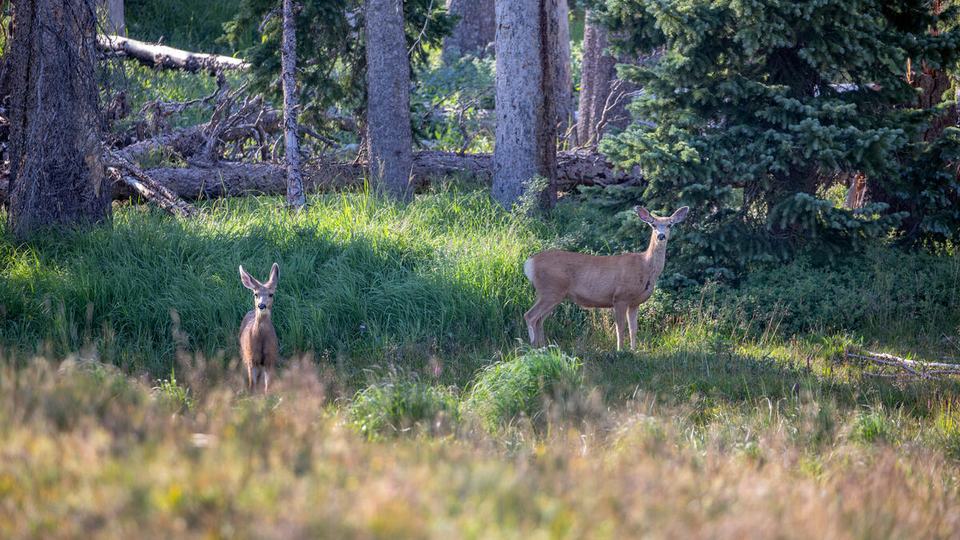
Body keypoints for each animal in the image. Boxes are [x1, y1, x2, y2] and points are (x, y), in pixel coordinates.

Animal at [238, 263, 280, 393]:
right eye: (255, 294)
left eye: (271, 294)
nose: (261, 305)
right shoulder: (251, 357)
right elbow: (252, 385)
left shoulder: (270, 358)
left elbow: (268, 387)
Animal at [523, 206, 689, 351]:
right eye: (653, 224)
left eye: (670, 224)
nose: (661, 236)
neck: (645, 266)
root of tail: (529, 263)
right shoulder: (620, 297)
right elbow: (620, 328)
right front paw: (620, 350)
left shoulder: (634, 302)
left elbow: (633, 329)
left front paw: (634, 350)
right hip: (550, 289)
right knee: (530, 316)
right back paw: (534, 347)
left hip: (552, 293)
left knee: (539, 320)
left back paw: (543, 347)